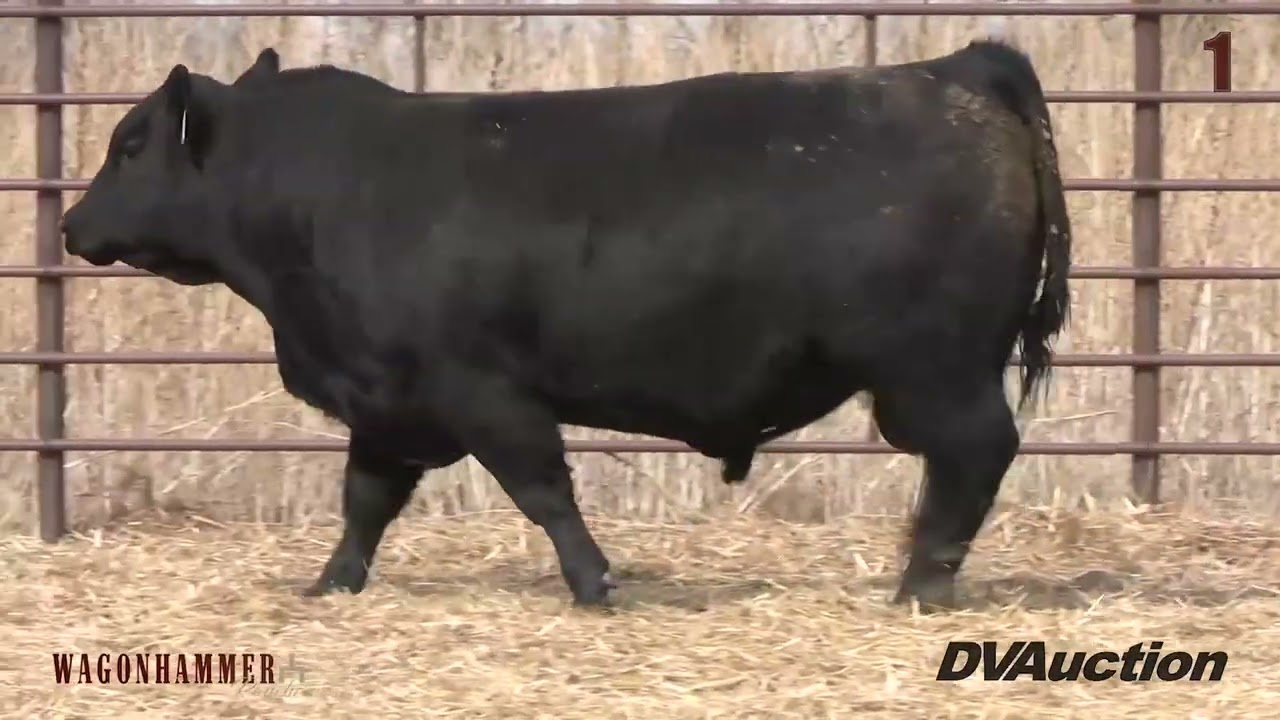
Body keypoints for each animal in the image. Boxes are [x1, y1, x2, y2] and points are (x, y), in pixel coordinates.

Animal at [61, 37, 1072, 612]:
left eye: (131, 144)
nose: (71, 225)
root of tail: (954, 70)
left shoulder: (483, 390)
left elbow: (543, 490)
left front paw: (594, 585)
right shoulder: (388, 401)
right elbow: (365, 502)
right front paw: (330, 583)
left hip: (934, 371)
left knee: (974, 455)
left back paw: (922, 583)